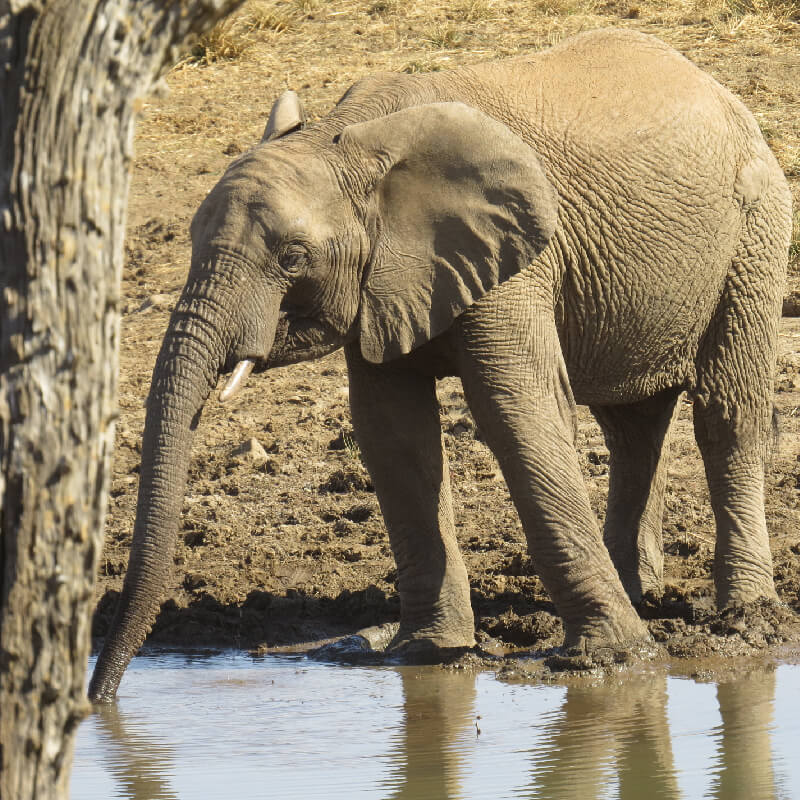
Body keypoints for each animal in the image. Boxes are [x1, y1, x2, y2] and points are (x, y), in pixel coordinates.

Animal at [89, 26, 792, 700]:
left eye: (292, 257)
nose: (101, 696)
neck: (351, 141)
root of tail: (721, 92)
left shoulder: (518, 259)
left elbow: (517, 412)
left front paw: (612, 660)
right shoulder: (382, 279)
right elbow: (393, 432)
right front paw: (427, 654)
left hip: (755, 229)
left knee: (726, 414)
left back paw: (744, 620)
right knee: (630, 425)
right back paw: (635, 591)